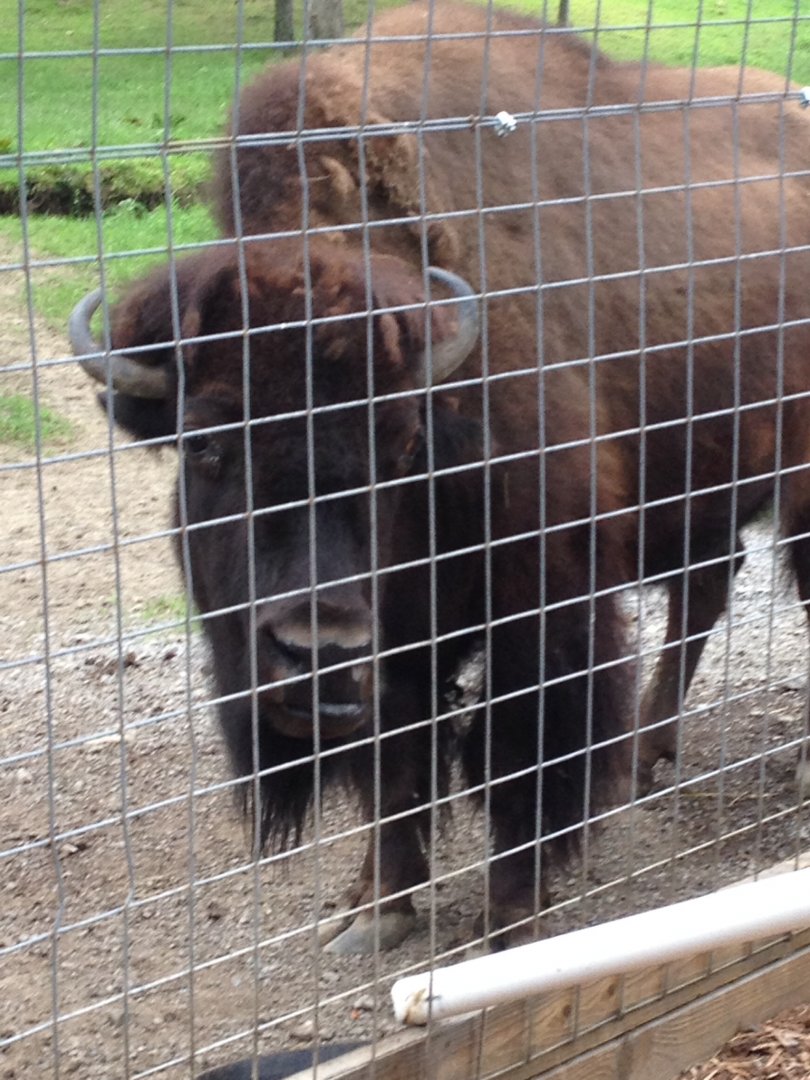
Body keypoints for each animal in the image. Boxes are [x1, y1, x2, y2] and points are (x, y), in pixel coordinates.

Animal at [71, 2, 810, 952]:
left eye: (401, 441)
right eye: (203, 442)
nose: (315, 655)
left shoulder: (542, 595)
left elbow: (520, 748)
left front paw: (512, 918)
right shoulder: (393, 643)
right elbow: (395, 763)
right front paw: (375, 908)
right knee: (705, 593)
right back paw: (649, 757)